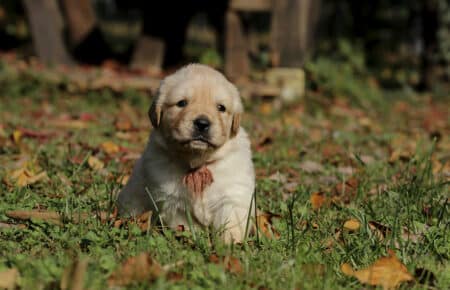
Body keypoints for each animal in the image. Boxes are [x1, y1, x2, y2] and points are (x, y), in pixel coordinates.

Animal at [118, 64, 255, 244]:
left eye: (221, 108)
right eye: (181, 103)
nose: (202, 123)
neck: (198, 163)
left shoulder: (232, 195)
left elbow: (230, 223)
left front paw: (230, 244)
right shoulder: (174, 203)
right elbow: (187, 225)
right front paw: (194, 240)